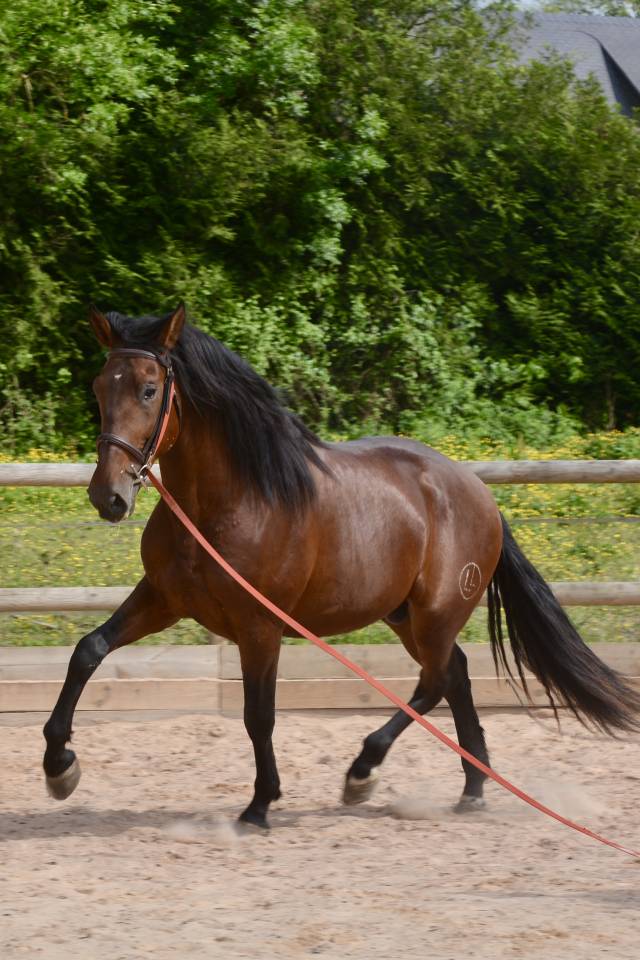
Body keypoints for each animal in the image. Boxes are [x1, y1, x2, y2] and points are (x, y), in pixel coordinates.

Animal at [42, 303, 640, 828]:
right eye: (99, 387)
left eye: (148, 389)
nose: (108, 497)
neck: (229, 501)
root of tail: (479, 492)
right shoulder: (164, 599)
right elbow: (87, 651)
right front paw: (59, 767)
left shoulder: (259, 627)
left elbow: (258, 715)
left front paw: (260, 806)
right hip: (406, 617)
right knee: (454, 675)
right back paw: (471, 789)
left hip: (436, 612)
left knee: (434, 681)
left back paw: (363, 772)